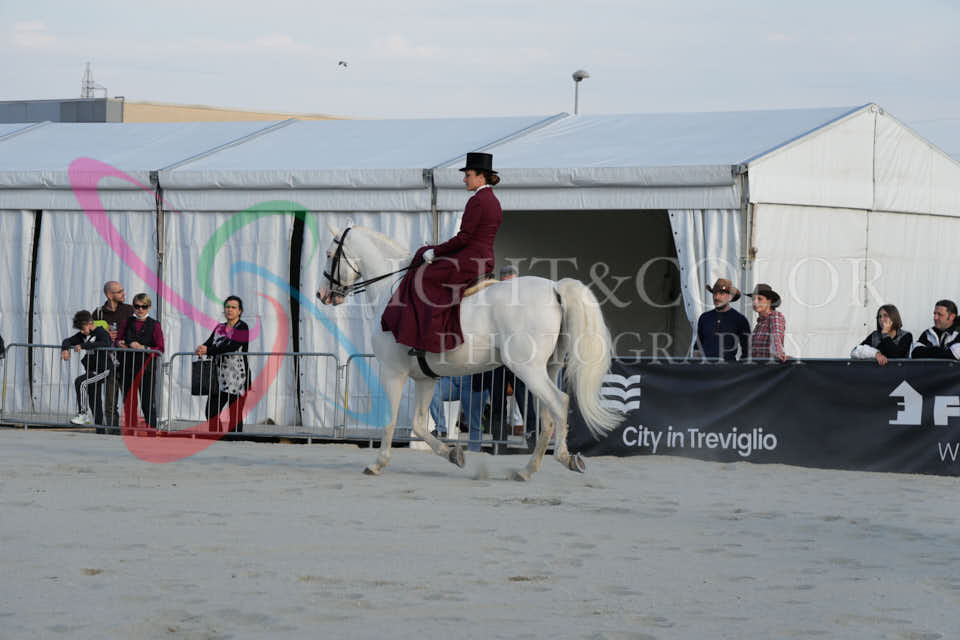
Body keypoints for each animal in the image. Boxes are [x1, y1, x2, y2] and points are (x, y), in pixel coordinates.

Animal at [316, 225, 622, 480]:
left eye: (330, 254)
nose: (322, 294)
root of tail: (555, 288)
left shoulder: (393, 372)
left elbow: (391, 421)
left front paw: (377, 463)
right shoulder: (425, 378)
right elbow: (418, 425)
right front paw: (454, 454)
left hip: (527, 370)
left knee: (559, 403)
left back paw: (563, 458)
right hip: (548, 369)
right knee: (547, 418)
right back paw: (527, 470)